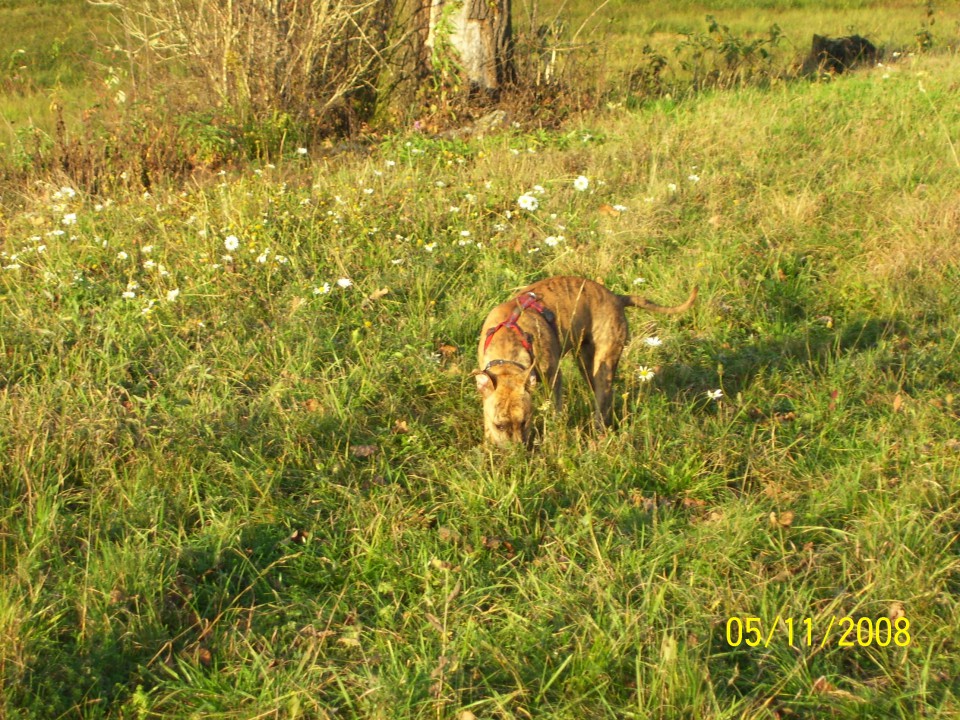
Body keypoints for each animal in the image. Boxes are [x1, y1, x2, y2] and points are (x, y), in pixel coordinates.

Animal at [474, 276, 692, 444]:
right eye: (499, 426)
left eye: (525, 421)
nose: (517, 451)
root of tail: (616, 297)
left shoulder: (554, 377)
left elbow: (556, 408)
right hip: (586, 363)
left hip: (603, 363)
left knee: (602, 398)